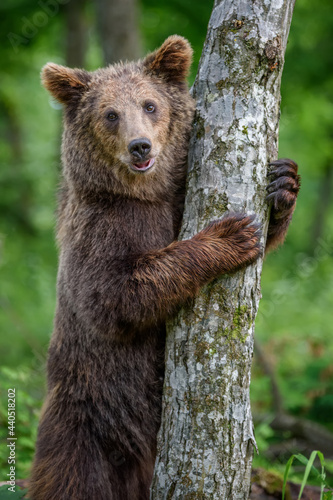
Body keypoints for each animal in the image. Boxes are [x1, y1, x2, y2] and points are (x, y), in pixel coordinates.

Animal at [28, 36, 298, 500]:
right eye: (110, 114)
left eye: (150, 104)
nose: (140, 146)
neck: (145, 194)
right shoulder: (101, 228)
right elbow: (115, 295)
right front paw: (230, 235)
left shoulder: (173, 201)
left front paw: (283, 182)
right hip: (82, 426)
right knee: (73, 479)